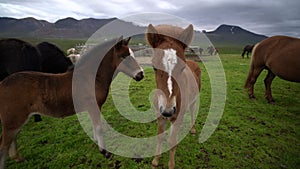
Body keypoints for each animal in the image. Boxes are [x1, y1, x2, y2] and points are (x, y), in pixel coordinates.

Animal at [0, 36, 144, 168]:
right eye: (123, 56)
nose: (141, 75)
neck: (91, 78)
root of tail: (2, 84)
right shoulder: (94, 106)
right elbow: (98, 128)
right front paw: (105, 152)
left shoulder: (91, 108)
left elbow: (94, 126)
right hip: (13, 119)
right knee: (3, 147)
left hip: (16, 119)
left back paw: (18, 158)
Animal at [146, 24, 202, 169]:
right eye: (154, 67)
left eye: (182, 68)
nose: (168, 111)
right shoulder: (160, 115)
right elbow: (160, 136)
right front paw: (156, 159)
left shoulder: (176, 117)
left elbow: (172, 141)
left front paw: (171, 165)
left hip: (194, 100)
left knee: (192, 111)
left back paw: (193, 129)